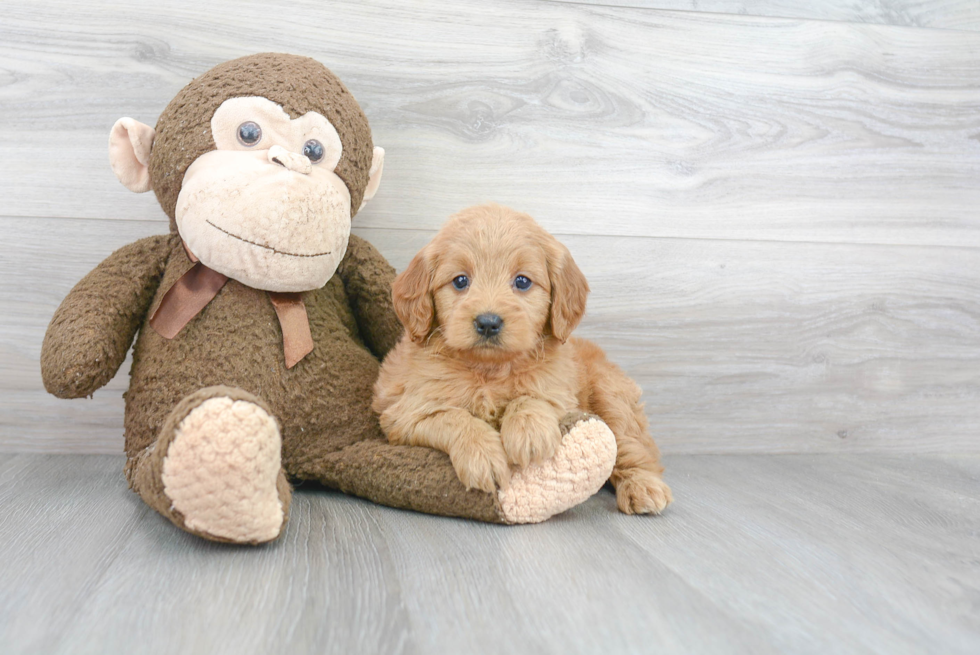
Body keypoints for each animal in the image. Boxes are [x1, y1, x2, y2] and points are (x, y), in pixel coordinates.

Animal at [372, 204, 668, 512]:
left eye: (523, 281)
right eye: (460, 281)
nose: (488, 322)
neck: (489, 370)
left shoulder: (559, 393)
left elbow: (531, 396)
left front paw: (529, 432)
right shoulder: (406, 412)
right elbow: (453, 417)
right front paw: (482, 455)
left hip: (611, 395)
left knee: (632, 446)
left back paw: (642, 487)